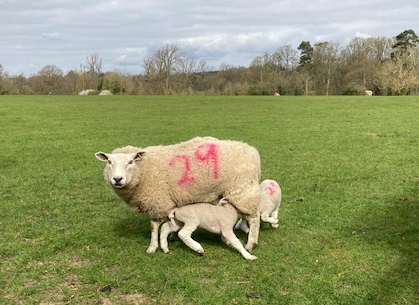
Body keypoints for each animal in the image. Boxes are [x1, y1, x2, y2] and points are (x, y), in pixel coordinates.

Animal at [94, 137, 262, 253]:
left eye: (130, 162)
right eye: (109, 162)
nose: (117, 179)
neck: (143, 171)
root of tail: (252, 151)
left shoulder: (158, 201)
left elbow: (154, 226)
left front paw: (152, 247)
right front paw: (173, 237)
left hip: (242, 189)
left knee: (254, 217)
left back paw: (250, 243)